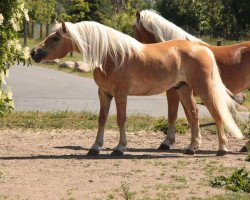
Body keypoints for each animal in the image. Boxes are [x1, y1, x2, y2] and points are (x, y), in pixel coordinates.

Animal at [30, 20, 243, 156]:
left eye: (56, 38)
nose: (34, 52)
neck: (110, 55)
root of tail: (203, 49)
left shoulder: (120, 94)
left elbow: (120, 119)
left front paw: (119, 148)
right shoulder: (104, 93)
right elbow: (102, 119)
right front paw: (95, 147)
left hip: (204, 89)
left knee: (217, 114)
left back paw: (222, 149)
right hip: (183, 89)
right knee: (194, 115)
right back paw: (191, 148)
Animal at [135, 9, 250, 152]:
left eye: (134, 29)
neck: (177, 53)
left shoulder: (173, 92)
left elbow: (172, 114)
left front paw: (167, 142)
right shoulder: (183, 90)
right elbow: (190, 116)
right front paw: (195, 143)